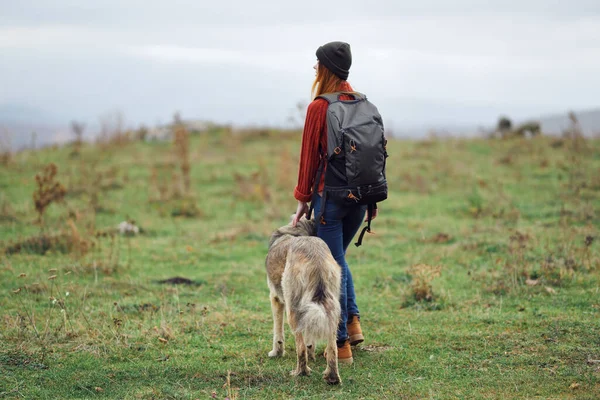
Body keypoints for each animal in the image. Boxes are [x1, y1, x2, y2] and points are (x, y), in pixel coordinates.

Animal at [264, 217, 342, 386]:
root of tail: (315, 257)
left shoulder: (275, 298)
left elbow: (277, 333)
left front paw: (276, 353)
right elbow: (310, 338)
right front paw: (311, 351)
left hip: (293, 309)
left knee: (300, 348)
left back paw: (300, 372)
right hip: (331, 307)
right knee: (332, 347)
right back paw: (332, 377)